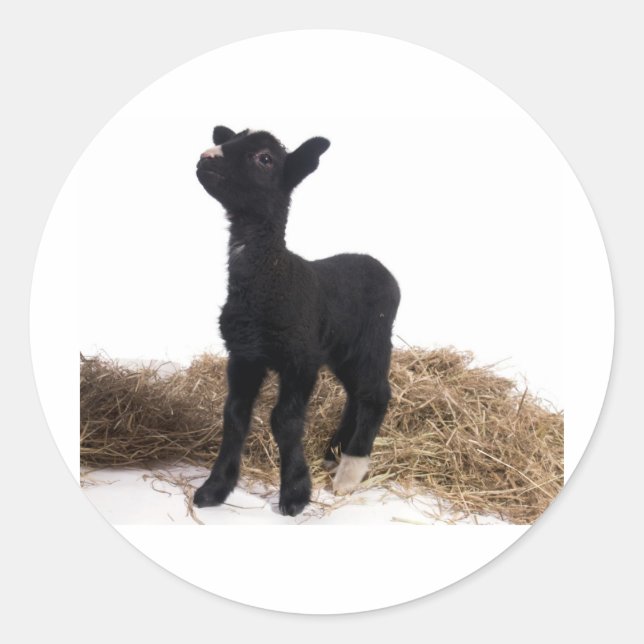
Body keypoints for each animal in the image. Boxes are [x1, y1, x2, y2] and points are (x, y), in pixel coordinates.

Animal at [193, 126, 401, 516]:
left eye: (265, 158)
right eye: (227, 140)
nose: (206, 157)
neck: (272, 275)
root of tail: (379, 265)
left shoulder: (299, 359)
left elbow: (285, 421)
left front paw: (294, 493)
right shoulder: (244, 355)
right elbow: (234, 415)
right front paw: (215, 488)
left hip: (373, 340)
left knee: (376, 395)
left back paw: (350, 471)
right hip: (340, 349)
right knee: (355, 394)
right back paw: (334, 453)